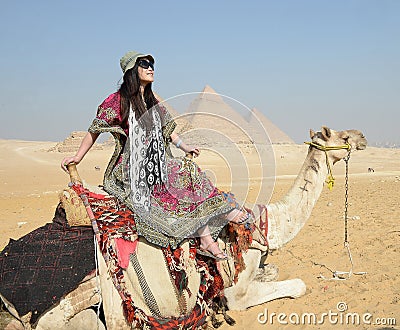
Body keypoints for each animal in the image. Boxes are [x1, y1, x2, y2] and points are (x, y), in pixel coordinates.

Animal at [1, 125, 368, 328]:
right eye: (341, 134)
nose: (363, 137)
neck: (265, 225)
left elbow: (274, 271)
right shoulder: (236, 293)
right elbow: (297, 286)